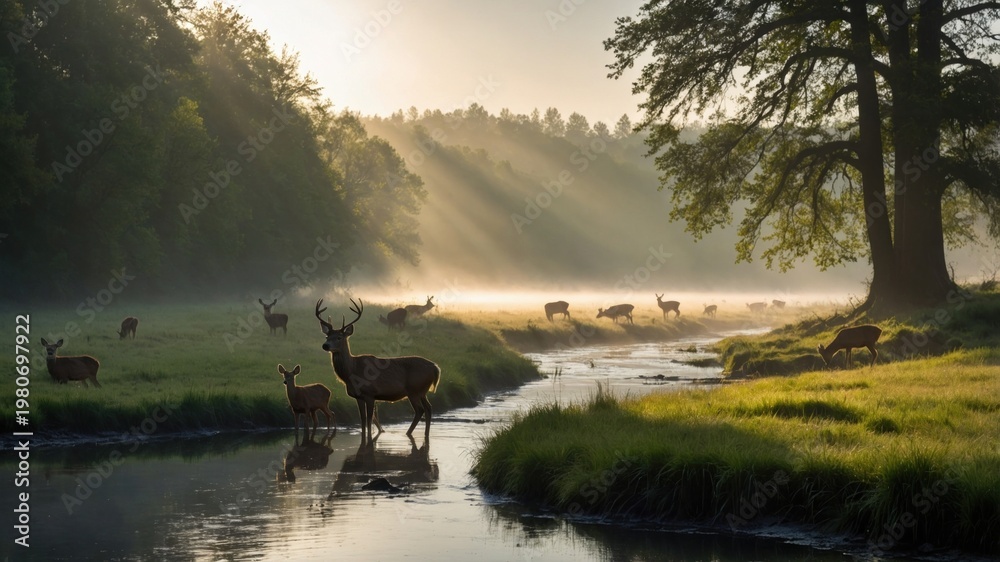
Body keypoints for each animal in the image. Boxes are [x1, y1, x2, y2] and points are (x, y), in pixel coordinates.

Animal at [315, 298, 441, 444]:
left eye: (339, 337)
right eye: (326, 336)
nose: (325, 345)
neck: (352, 371)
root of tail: (435, 367)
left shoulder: (370, 393)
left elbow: (369, 419)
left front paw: (369, 439)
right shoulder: (358, 396)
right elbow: (363, 419)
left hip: (414, 389)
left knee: (420, 410)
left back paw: (408, 433)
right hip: (422, 391)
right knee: (428, 408)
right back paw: (425, 434)